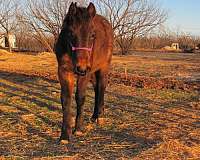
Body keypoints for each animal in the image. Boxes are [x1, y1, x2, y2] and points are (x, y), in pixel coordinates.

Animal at [54, 2, 113, 142]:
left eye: (92, 35)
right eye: (71, 33)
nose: (81, 67)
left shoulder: (85, 74)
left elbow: (80, 97)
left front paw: (79, 129)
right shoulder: (64, 72)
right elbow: (66, 99)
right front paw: (65, 135)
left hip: (103, 67)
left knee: (102, 87)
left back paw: (100, 116)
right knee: (97, 88)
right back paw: (94, 115)